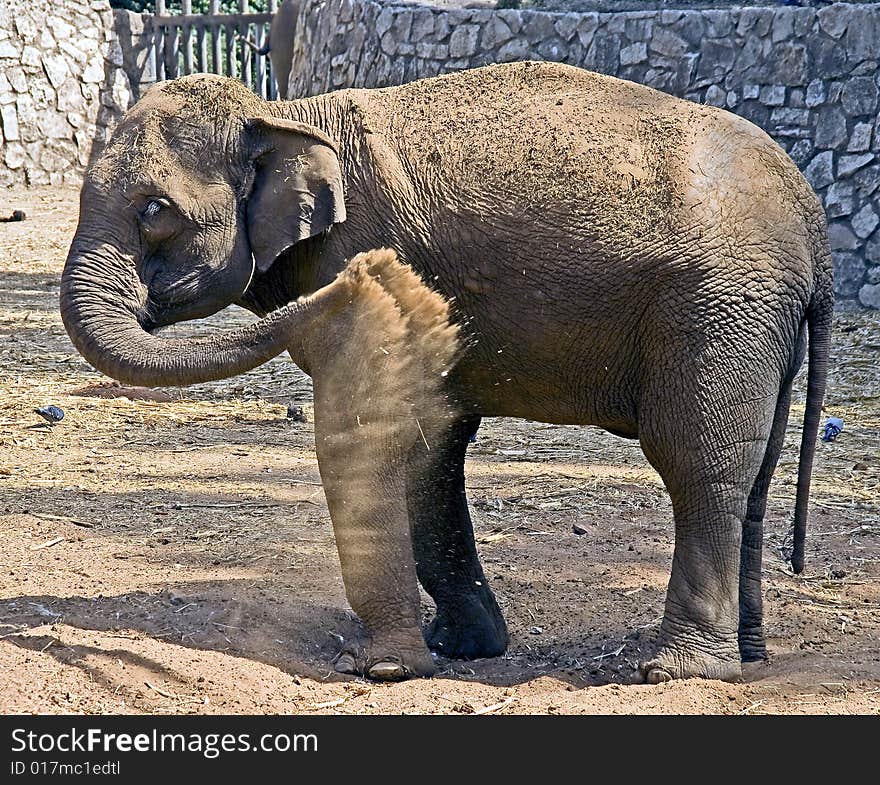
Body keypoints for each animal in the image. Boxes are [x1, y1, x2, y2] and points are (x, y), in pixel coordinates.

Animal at [60, 61, 832, 684]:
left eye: (155, 211)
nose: (372, 280)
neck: (287, 112)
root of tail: (812, 223)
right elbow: (430, 446)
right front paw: (460, 647)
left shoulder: (351, 239)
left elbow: (372, 430)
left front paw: (385, 668)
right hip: (759, 319)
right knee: (754, 477)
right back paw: (750, 655)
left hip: (716, 307)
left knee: (700, 463)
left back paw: (676, 670)